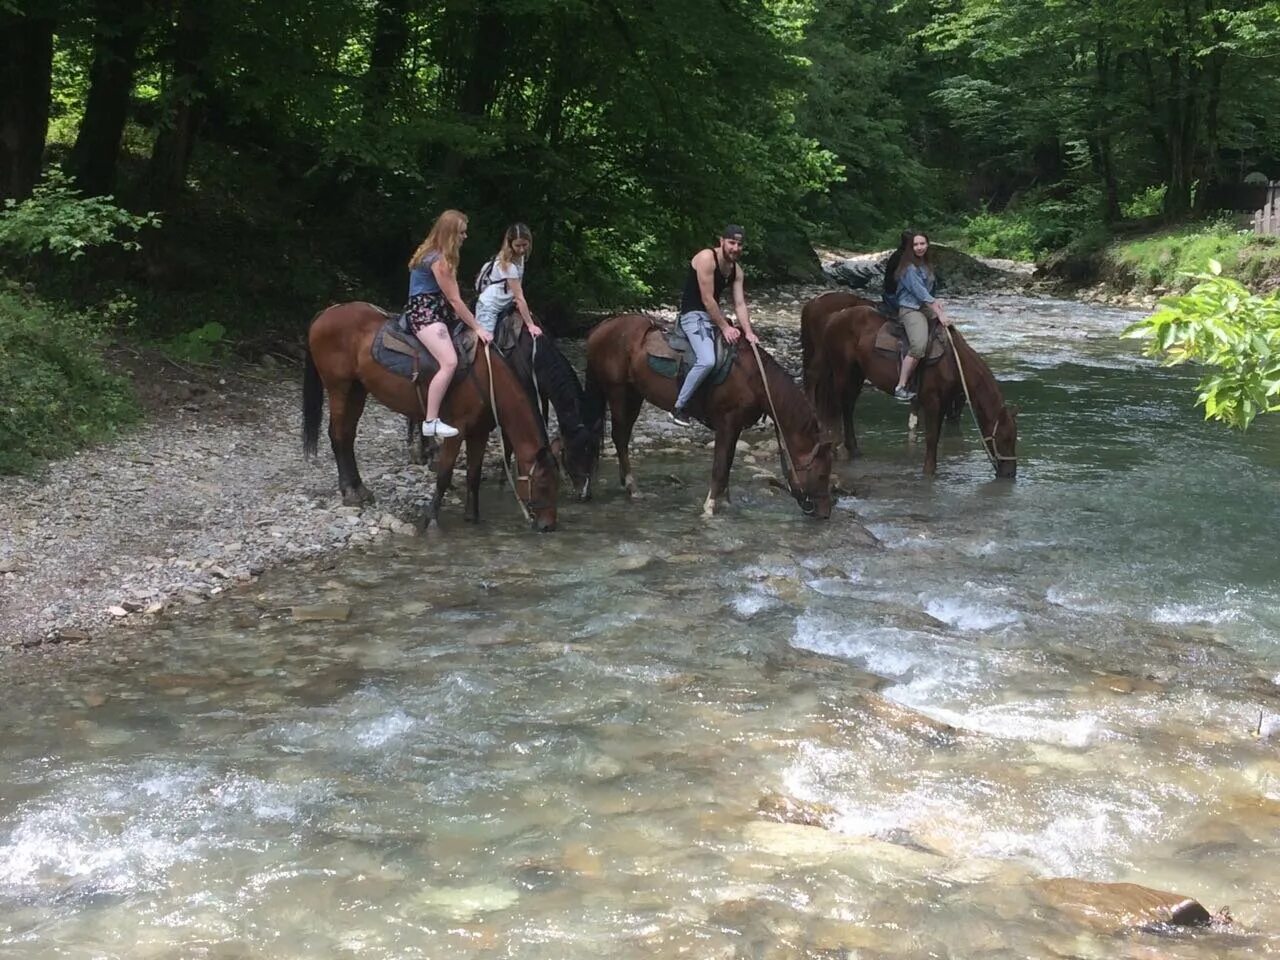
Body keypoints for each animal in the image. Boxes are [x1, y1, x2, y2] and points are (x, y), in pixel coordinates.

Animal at [304, 302, 560, 535]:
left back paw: (359, 489)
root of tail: (326, 312)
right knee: (338, 435)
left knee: (347, 435)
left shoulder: (479, 433)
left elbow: (474, 475)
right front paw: (432, 520)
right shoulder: (457, 429)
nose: (548, 526)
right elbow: (445, 474)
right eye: (543, 484)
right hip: (339, 387)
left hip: (357, 389)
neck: (486, 379)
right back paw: (349, 492)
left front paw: (473, 517)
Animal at [586, 316, 834, 519]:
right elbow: (719, 467)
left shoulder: (735, 427)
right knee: (619, 437)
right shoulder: (727, 424)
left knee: (622, 437)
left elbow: (727, 465)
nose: (824, 514)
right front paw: (709, 508)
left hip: (634, 395)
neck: (754, 379)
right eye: (822, 475)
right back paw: (633, 488)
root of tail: (602, 327)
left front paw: (725, 504)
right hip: (618, 393)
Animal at [798, 296, 1018, 478]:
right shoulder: (932, 401)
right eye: (1005, 438)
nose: (1010, 473)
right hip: (842, 371)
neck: (952, 362)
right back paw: (838, 448)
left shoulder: (942, 403)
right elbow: (931, 437)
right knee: (837, 406)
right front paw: (928, 472)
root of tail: (835, 316)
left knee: (847, 406)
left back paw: (854, 449)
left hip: (857, 374)